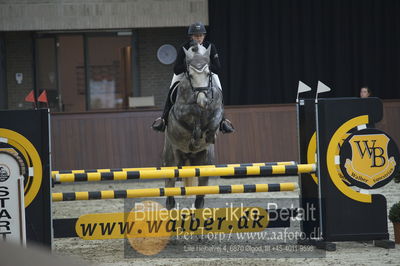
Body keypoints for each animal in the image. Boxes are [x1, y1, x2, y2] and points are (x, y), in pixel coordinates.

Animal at [163, 43, 225, 210]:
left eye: (208, 73)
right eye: (190, 75)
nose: (203, 100)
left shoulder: (217, 110)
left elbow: (214, 119)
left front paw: (208, 135)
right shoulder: (180, 112)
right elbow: (193, 113)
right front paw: (196, 136)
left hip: (205, 162)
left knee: (200, 194)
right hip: (171, 159)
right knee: (170, 187)